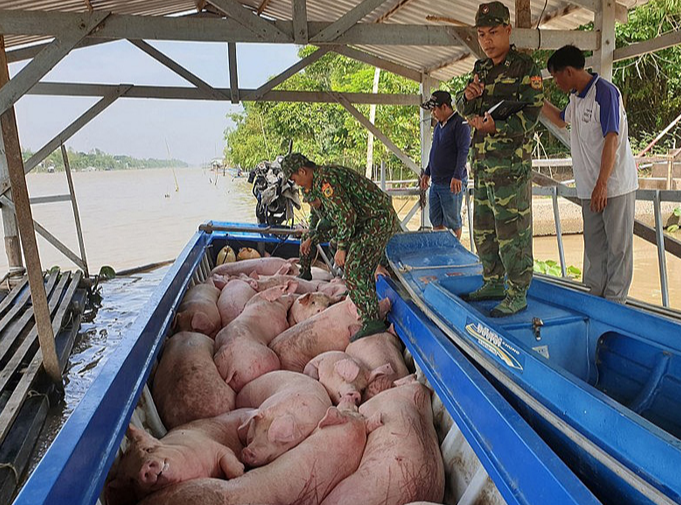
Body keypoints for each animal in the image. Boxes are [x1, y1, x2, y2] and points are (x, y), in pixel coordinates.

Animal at [106, 410, 252, 504]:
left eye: (148, 449)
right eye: (132, 479)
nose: (144, 469)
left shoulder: (216, 447)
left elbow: (230, 464)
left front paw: (241, 470)